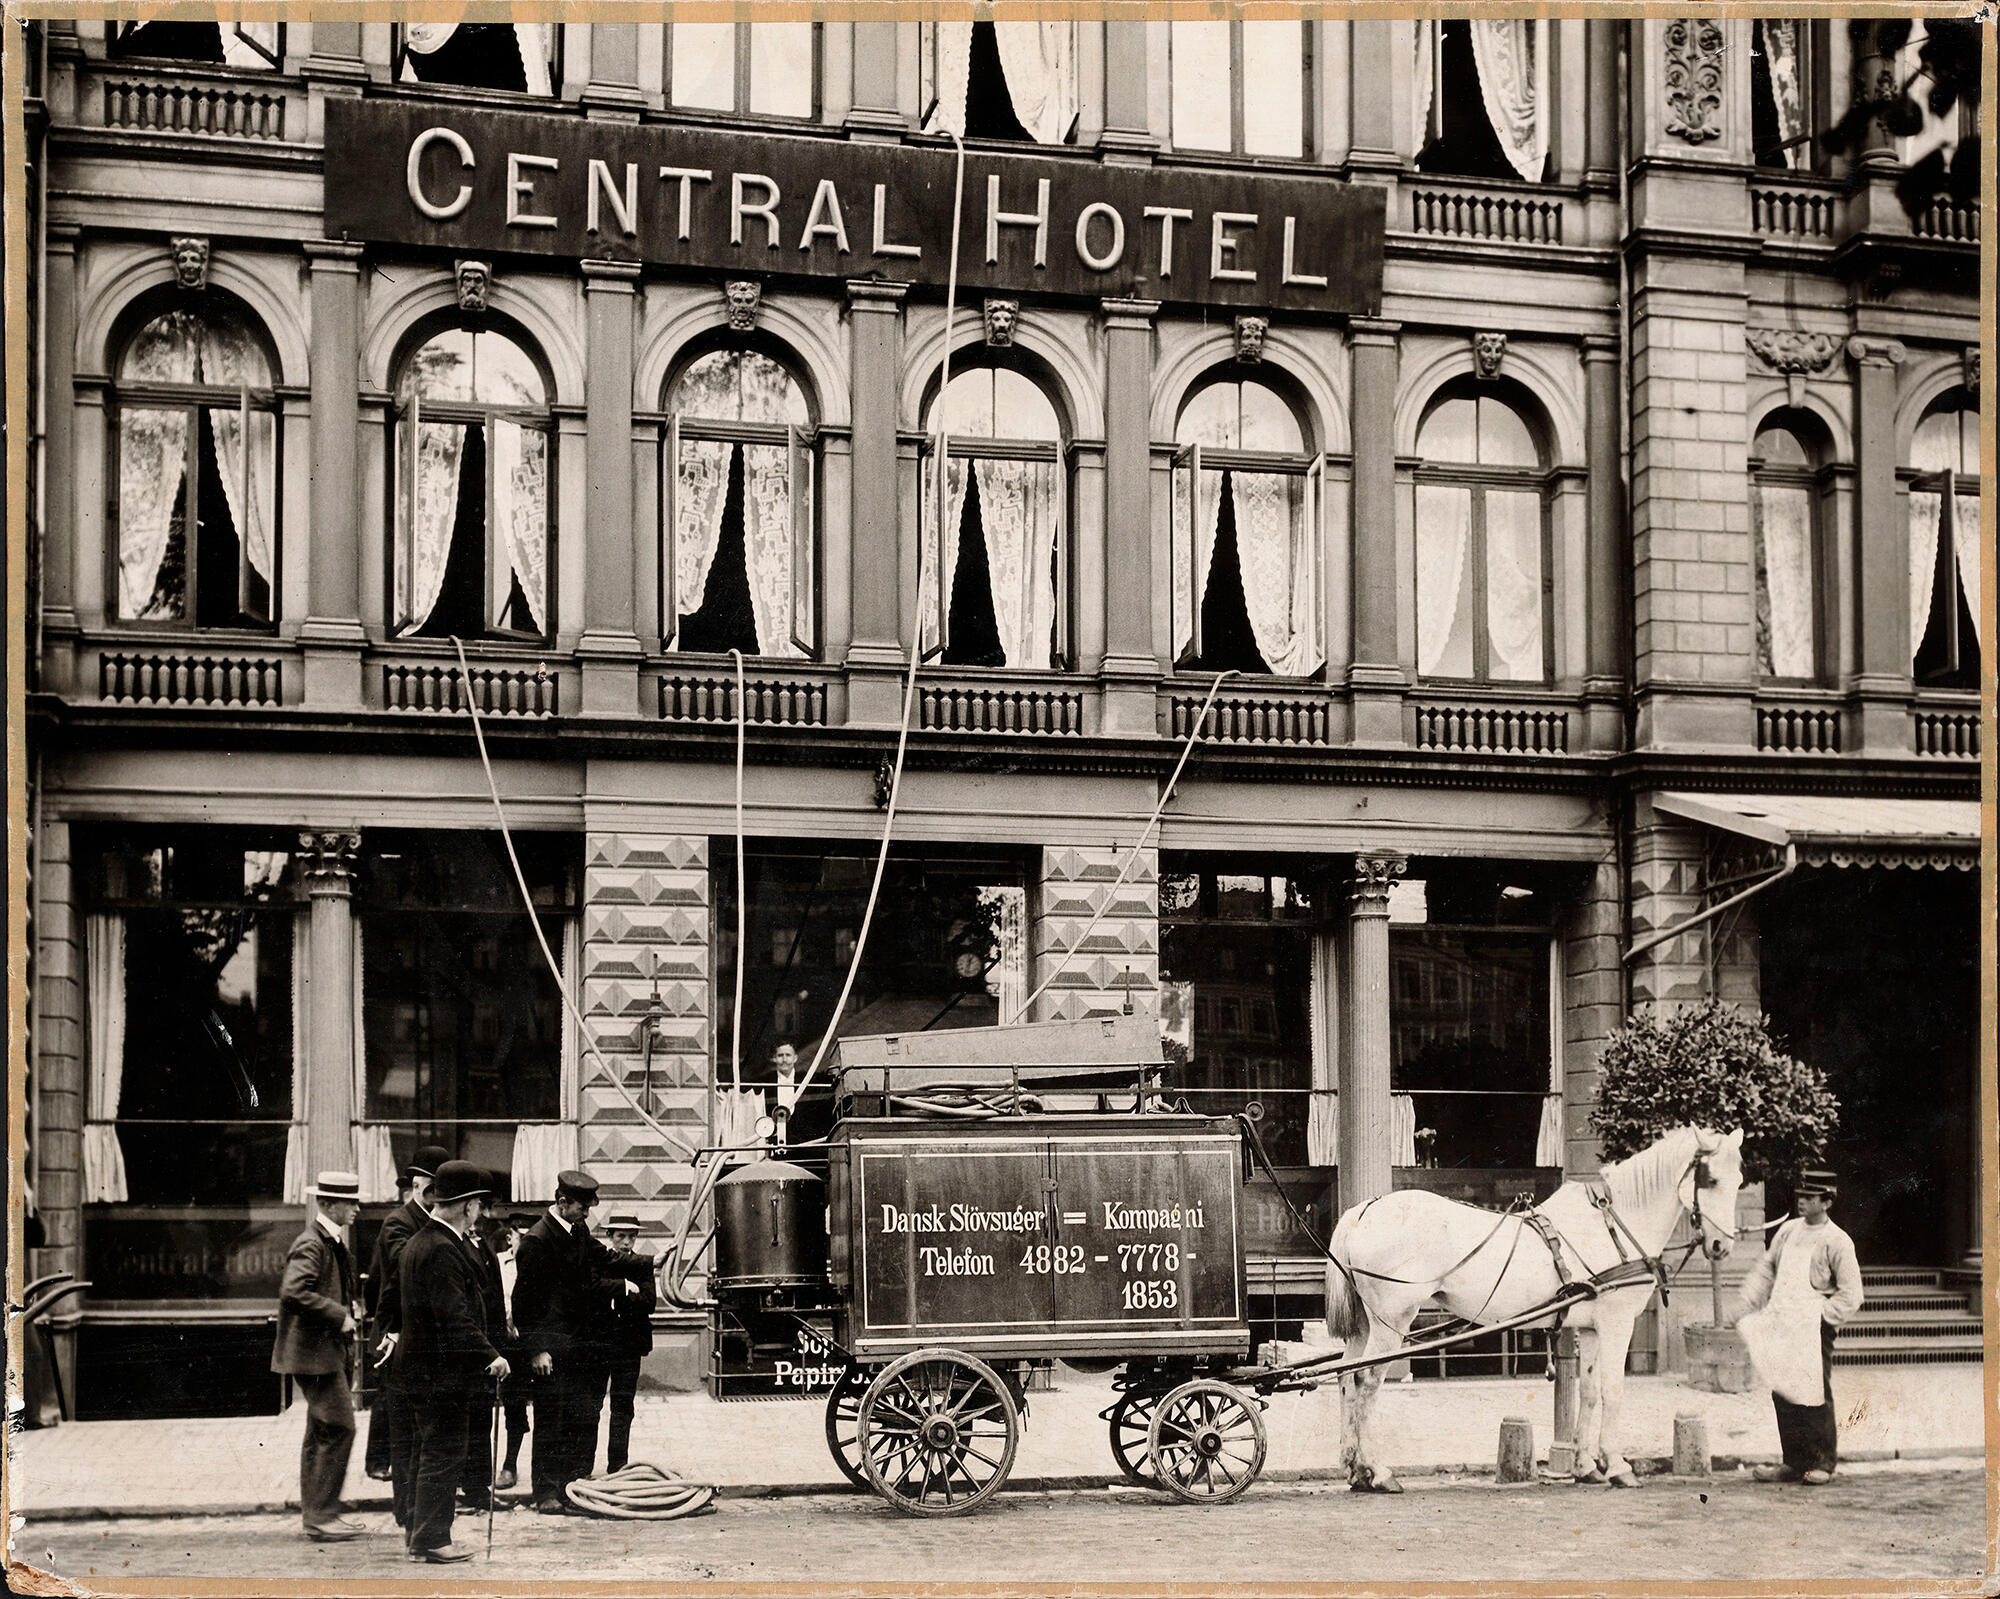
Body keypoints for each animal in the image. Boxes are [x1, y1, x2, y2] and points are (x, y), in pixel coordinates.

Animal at [1328, 1127, 1736, 1495]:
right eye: (1711, 1179)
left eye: (1739, 1180)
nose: (1722, 1246)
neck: (1612, 1227)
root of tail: (1363, 1211)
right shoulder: (1617, 1323)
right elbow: (1613, 1391)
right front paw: (1618, 1466)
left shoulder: (1592, 1328)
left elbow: (1589, 1392)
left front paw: (1586, 1466)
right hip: (1392, 1323)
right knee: (1367, 1381)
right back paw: (1379, 1472)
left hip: (1365, 1325)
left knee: (1346, 1376)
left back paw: (1355, 1469)